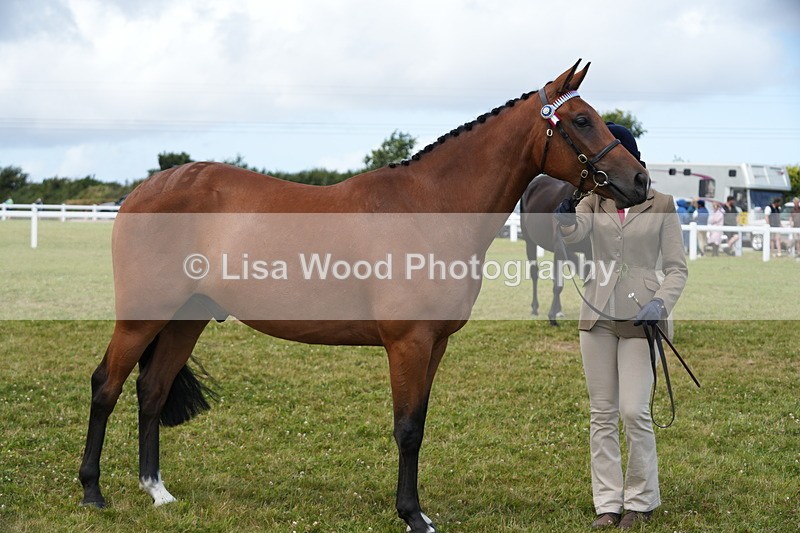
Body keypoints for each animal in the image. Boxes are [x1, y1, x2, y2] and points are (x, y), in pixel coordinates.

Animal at [520, 174, 592, 325]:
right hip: (530, 242)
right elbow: (559, 285)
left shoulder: (589, 251)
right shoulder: (560, 247)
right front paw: (552, 316)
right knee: (535, 273)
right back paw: (535, 308)